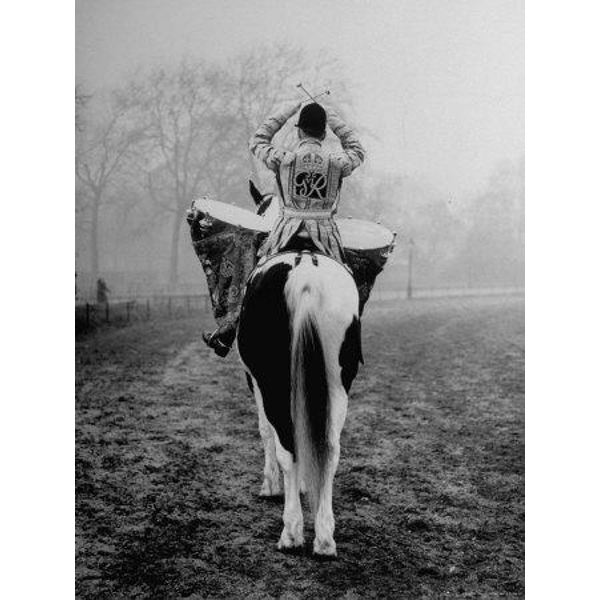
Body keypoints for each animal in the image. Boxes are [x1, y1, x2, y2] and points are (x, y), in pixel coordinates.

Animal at [237, 182, 363, 556]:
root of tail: (305, 276)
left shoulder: (255, 382)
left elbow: (265, 431)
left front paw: (270, 486)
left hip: (274, 381)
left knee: (287, 445)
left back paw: (292, 532)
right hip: (338, 382)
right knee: (332, 449)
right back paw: (324, 536)